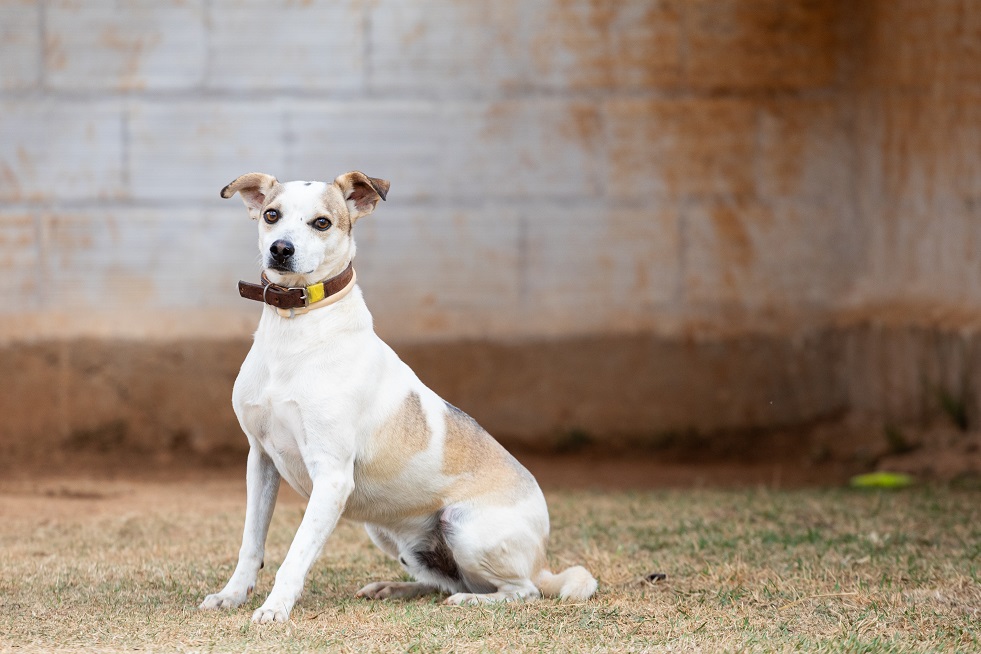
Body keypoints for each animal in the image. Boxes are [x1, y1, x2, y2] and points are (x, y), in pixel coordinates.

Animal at [199, 173, 596, 624]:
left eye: (321, 222)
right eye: (271, 215)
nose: (281, 248)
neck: (294, 329)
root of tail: (543, 562)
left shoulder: (332, 476)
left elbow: (297, 553)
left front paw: (274, 608)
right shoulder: (261, 459)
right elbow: (251, 543)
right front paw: (231, 596)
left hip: (465, 527)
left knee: (522, 590)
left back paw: (472, 601)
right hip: (391, 535)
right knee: (448, 580)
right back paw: (394, 588)